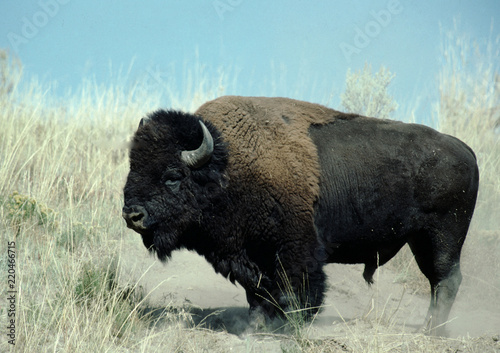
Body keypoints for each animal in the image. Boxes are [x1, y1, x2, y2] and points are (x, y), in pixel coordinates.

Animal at [123, 95, 478, 334]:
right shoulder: (250, 255)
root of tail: (465, 150)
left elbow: (297, 290)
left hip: (442, 237)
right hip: (421, 241)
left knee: (446, 279)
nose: (132, 214)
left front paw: (291, 326)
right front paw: (255, 328)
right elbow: (257, 292)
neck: (226, 166)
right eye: (132, 166)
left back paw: (432, 330)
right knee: (438, 281)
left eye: (172, 176)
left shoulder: (295, 249)